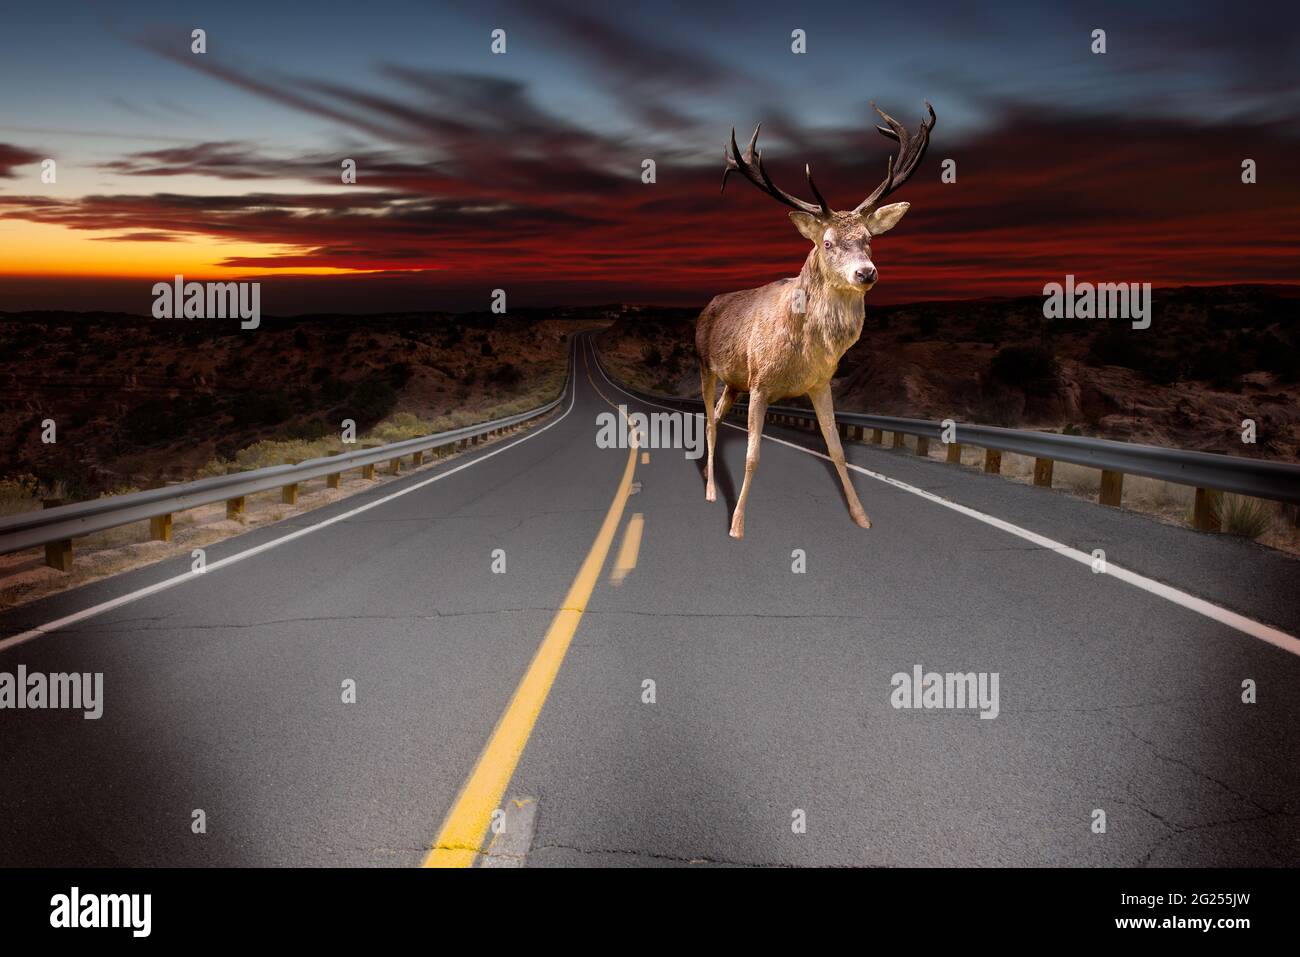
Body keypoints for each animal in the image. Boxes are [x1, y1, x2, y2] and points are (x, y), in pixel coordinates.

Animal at [696, 102, 935, 539]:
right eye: (826, 242)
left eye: (869, 239)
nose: (866, 273)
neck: (804, 348)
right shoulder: (761, 382)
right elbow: (753, 456)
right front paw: (737, 524)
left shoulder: (820, 383)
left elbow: (838, 451)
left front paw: (862, 516)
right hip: (706, 364)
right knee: (706, 418)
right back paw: (709, 491)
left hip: (734, 381)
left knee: (717, 416)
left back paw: (708, 472)